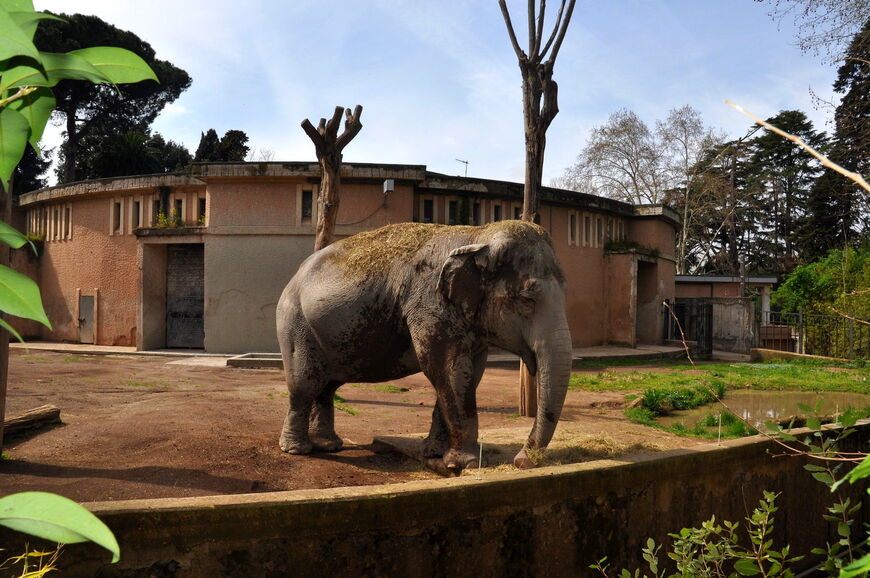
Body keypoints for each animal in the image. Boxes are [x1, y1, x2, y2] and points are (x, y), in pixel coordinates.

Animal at [278, 218, 572, 470]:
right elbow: (449, 371)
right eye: (527, 300)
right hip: (296, 325)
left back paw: (329, 445)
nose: (522, 461)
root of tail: (294, 275)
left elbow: (470, 374)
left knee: (327, 387)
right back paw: (297, 450)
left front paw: (433, 453)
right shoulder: (430, 306)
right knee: (305, 384)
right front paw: (465, 464)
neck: (477, 236)